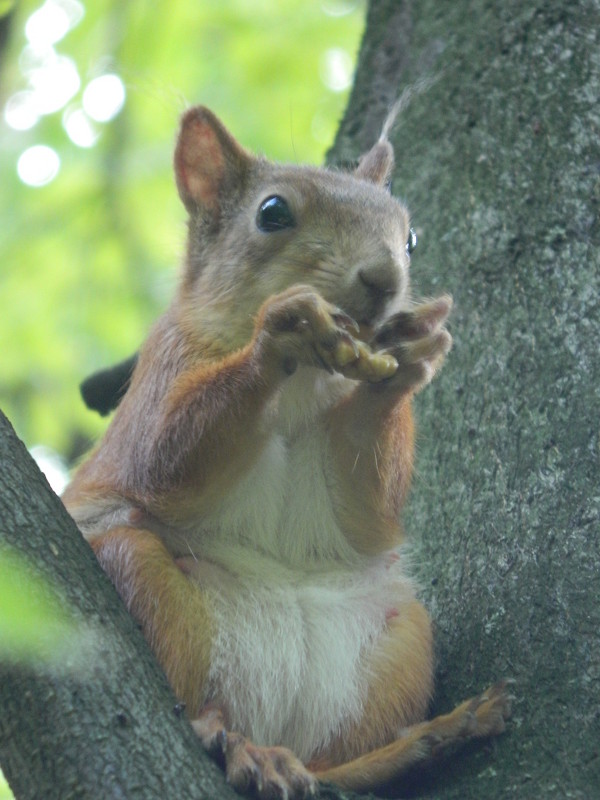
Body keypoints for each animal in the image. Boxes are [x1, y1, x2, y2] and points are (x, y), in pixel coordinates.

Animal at [62, 108, 510, 800]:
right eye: (272, 212)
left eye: (410, 237)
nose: (384, 280)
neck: (304, 383)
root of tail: (270, 722)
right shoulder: (162, 370)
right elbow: (165, 456)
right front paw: (280, 331)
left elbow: (363, 506)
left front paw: (407, 361)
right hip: (142, 579)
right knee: (188, 680)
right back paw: (229, 742)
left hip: (401, 644)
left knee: (336, 764)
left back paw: (418, 743)